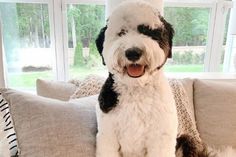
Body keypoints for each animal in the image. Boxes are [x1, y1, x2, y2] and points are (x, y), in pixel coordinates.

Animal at [95, 0, 178, 156]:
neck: (136, 88)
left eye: (148, 32)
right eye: (121, 33)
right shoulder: (108, 134)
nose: (133, 52)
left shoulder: (160, 137)